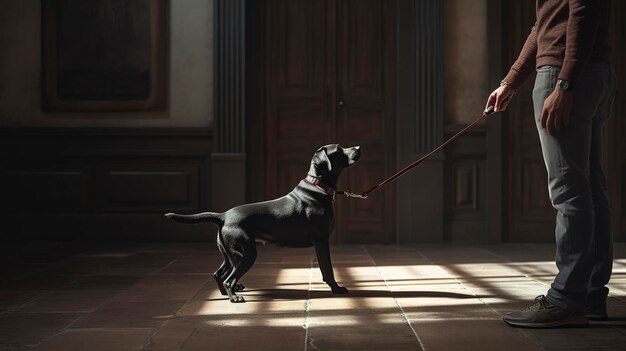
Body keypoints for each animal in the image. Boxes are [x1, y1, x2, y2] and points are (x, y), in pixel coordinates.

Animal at [165, 144, 360, 304]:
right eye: (339, 149)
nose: (359, 147)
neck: (318, 185)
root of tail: (223, 215)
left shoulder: (320, 243)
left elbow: (324, 269)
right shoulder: (321, 240)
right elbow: (328, 268)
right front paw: (336, 289)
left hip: (230, 254)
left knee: (218, 274)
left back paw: (227, 293)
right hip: (245, 254)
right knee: (228, 278)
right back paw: (234, 297)